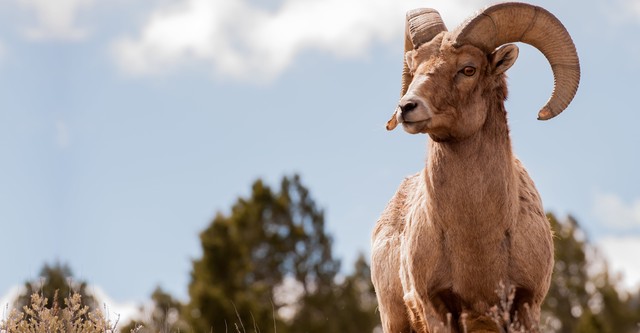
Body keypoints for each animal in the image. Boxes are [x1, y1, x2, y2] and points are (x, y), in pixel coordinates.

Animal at [370, 3, 580, 332]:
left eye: (468, 69)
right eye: (414, 67)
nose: (406, 108)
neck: (479, 244)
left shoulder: (525, 306)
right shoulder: (437, 308)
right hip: (396, 321)